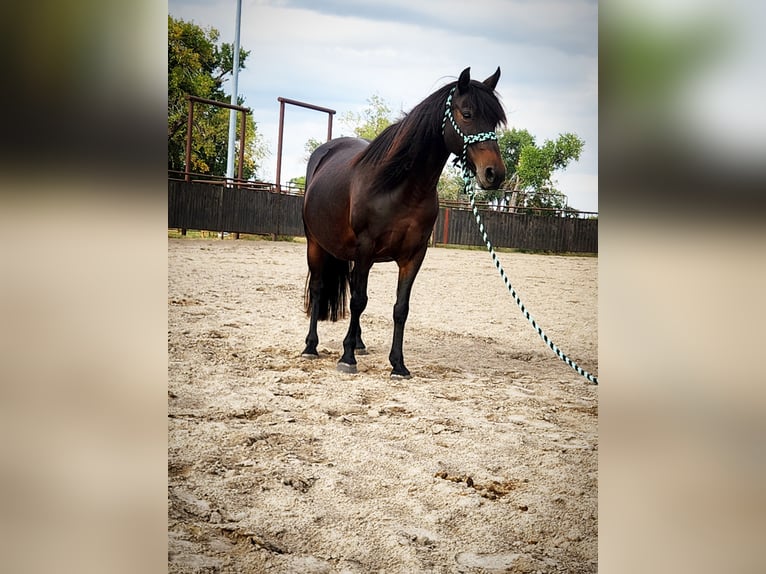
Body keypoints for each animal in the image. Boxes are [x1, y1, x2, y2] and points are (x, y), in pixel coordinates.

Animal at [304, 67, 508, 380]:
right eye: (467, 113)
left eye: (495, 121)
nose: (494, 174)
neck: (400, 187)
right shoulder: (365, 249)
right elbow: (358, 301)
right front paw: (347, 358)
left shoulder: (414, 255)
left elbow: (401, 307)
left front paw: (398, 364)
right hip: (315, 244)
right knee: (318, 289)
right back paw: (311, 346)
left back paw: (359, 343)